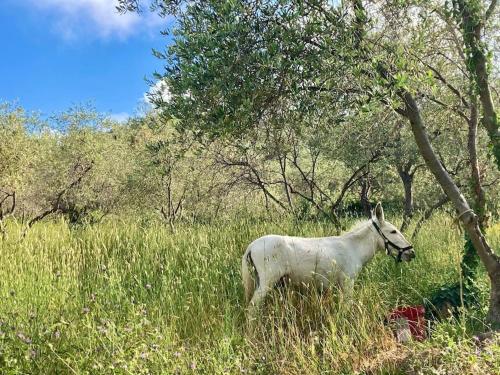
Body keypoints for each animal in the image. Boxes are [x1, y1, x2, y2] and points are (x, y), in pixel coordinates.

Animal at [240, 204, 412, 312]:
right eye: (393, 231)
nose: (412, 253)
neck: (353, 247)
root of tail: (252, 245)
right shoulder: (348, 282)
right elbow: (348, 306)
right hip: (267, 281)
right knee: (252, 308)